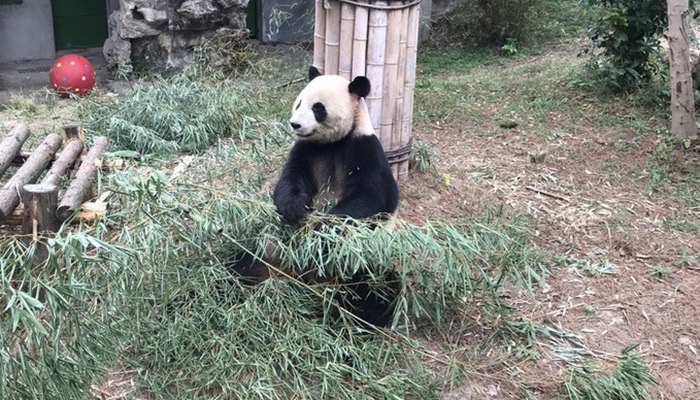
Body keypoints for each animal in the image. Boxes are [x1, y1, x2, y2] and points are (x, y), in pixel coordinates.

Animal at [230, 65, 400, 328]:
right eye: (299, 103)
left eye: (318, 108)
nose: (295, 124)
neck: (333, 142)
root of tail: (307, 279)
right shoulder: (308, 149)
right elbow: (291, 179)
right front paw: (295, 208)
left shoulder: (364, 148)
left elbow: (372, 198)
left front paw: (321, 228)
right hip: (272, 250)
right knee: (243, 261)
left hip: (359, 264)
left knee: (377, 290)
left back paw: (361, 320)